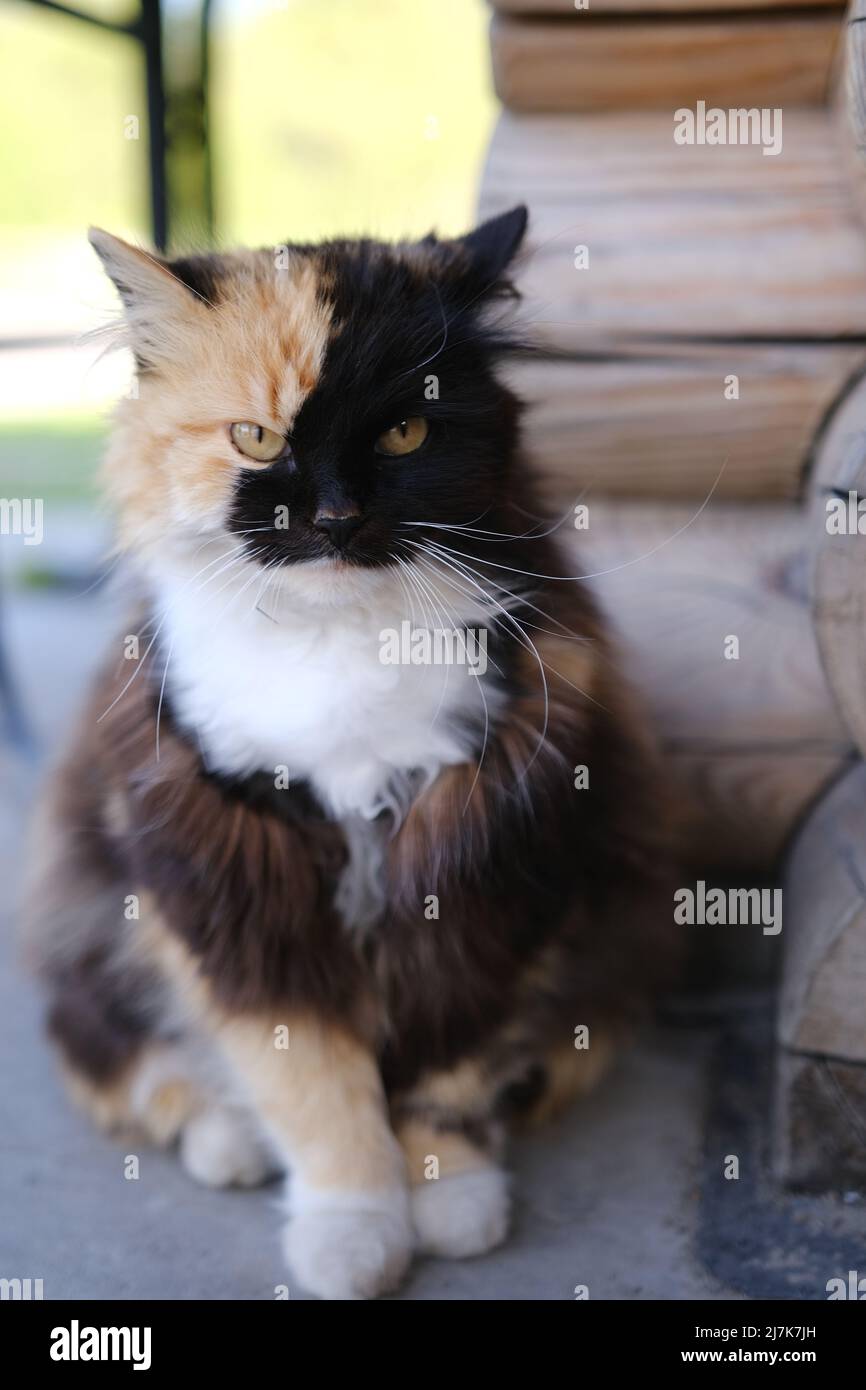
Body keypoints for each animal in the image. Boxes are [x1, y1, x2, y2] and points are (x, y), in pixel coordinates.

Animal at [23, 208, 681, 1301]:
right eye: (254, 438)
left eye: (406, 432)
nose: (332, 519)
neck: (338, 649)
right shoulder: (234, 877)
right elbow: (311, 1083)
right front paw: (355, 1233)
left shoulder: (483, 854)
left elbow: (447, 1065)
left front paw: (450, 1196)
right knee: (145, 1070)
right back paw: (233, 1143)